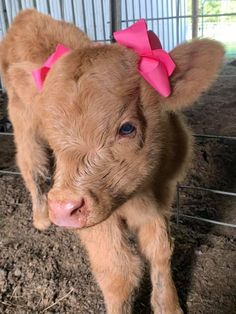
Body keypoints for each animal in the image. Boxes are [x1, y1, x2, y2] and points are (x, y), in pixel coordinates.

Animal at [0, 9, 223, 314]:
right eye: (53, 129)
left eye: (127, 128)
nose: (62, 209)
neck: (140, 193)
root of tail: (26, 14)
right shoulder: (95, 216)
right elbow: (119, 272)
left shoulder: (160, 198)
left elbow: (161, 250)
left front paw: (168, 305)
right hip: (24, 127)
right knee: (33, 167)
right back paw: (42, 218)